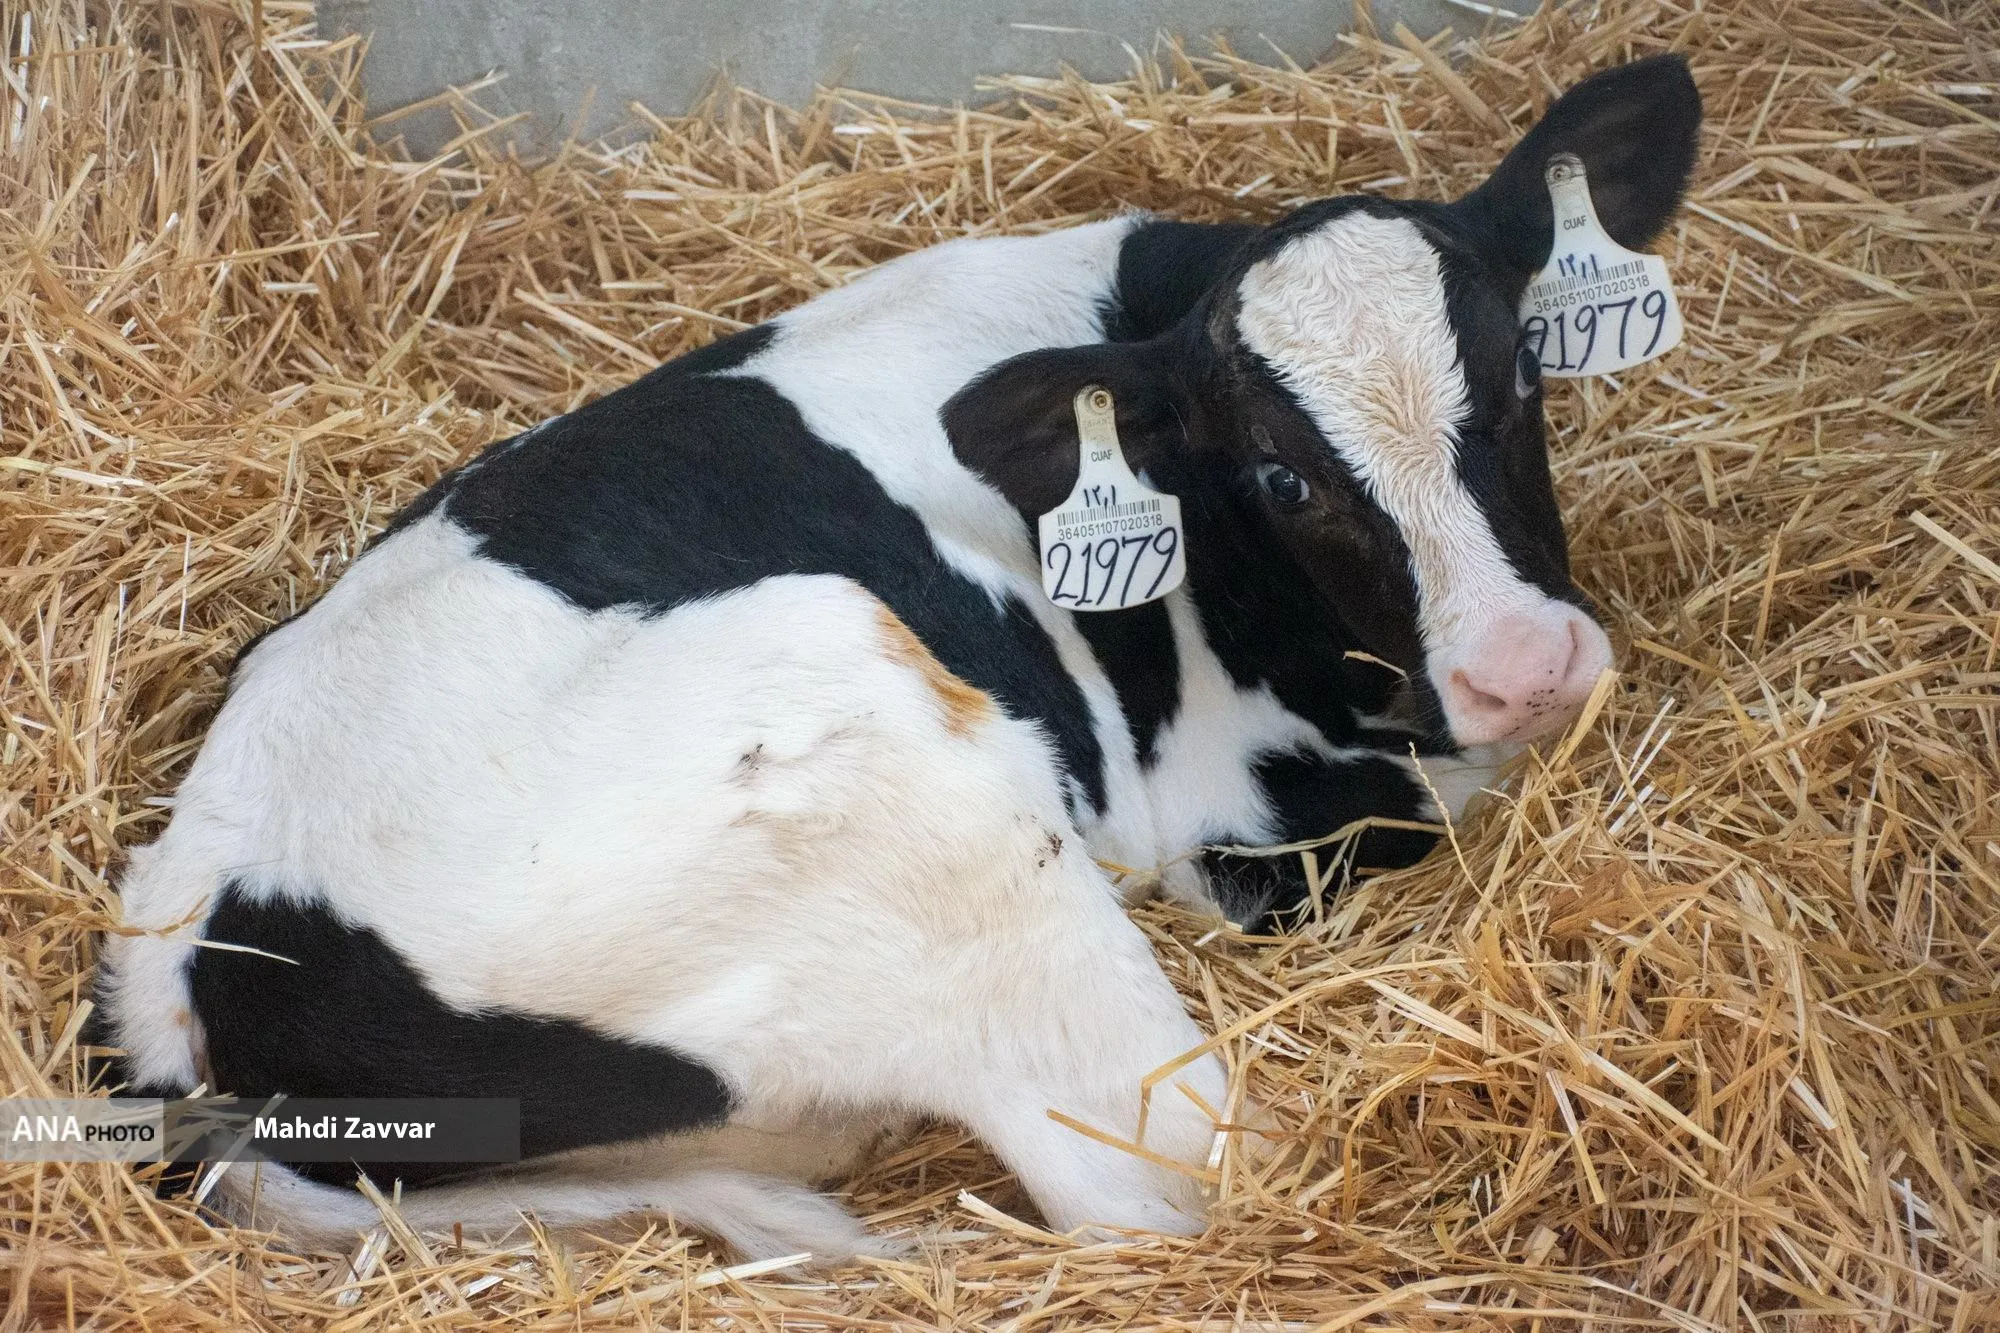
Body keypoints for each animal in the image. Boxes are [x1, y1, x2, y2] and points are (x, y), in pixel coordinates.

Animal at [92, 56, 1700, 1260]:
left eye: (1521, 371)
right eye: (1283, 476)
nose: (1524, 662)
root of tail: (186, 942)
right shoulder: (1235, 817)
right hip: (883, 764)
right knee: (1173, 1171)